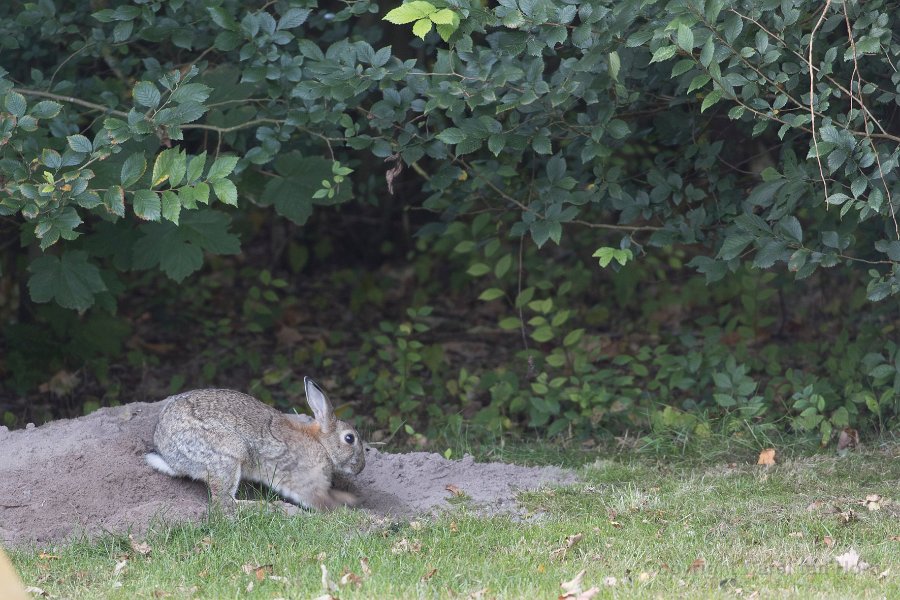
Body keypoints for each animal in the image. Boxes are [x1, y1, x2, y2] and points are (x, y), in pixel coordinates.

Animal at [146, 376, 364, 510]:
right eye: (349, 438)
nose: (361, 468)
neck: (322, 444)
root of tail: (170, 458)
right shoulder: (306, 479)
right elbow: (319, 499)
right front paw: (342, 507)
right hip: (229, 454)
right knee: (225, 503)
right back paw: (268, 506)